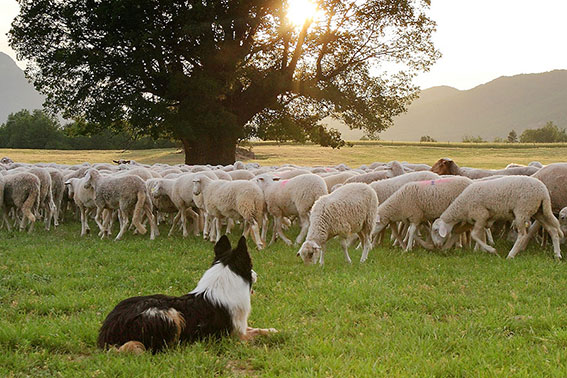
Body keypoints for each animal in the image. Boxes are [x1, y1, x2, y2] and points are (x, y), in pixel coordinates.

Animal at [97, 235, 278, 352]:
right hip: (169, 315)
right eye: (250, 267)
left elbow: (258, 329)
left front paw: (273, 330)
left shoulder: (241, 328)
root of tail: (107, 330)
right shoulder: (234, 337)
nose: (256, 274)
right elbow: (256, 335)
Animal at [430, 176, 564, 260]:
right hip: (539, 211)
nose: (436, 246)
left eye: (436, 230)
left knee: (522, 235)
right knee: (552, 230)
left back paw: (511, 255)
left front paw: (491, 250)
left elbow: (474, 235)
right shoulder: (476, 220)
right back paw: (557, 255)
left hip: (522, 211)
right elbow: (474, 234)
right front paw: (478, 250)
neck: (462, 206)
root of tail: (544, 192)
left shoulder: (481, 215)